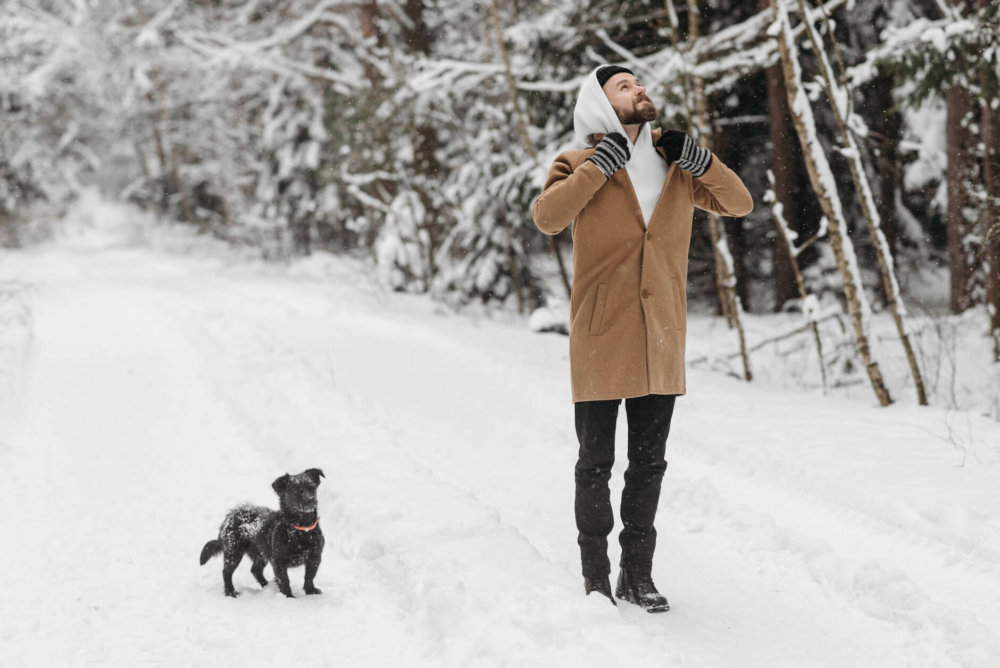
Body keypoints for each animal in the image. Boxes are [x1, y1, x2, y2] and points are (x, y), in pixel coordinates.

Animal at [201, 468, 326, 596]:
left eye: (312, 488)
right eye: (296, 490)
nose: (311, 500)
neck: (300, 530)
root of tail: (229, 516)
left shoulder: (315, 557)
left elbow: (309, 576)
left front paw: (310, 591)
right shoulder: (279, 562)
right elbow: (285, 580)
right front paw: (288, 596)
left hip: (260, 553)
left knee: (255, 570)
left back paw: (267, 586)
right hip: (234, 552)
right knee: (226, 572)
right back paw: (230, 592)